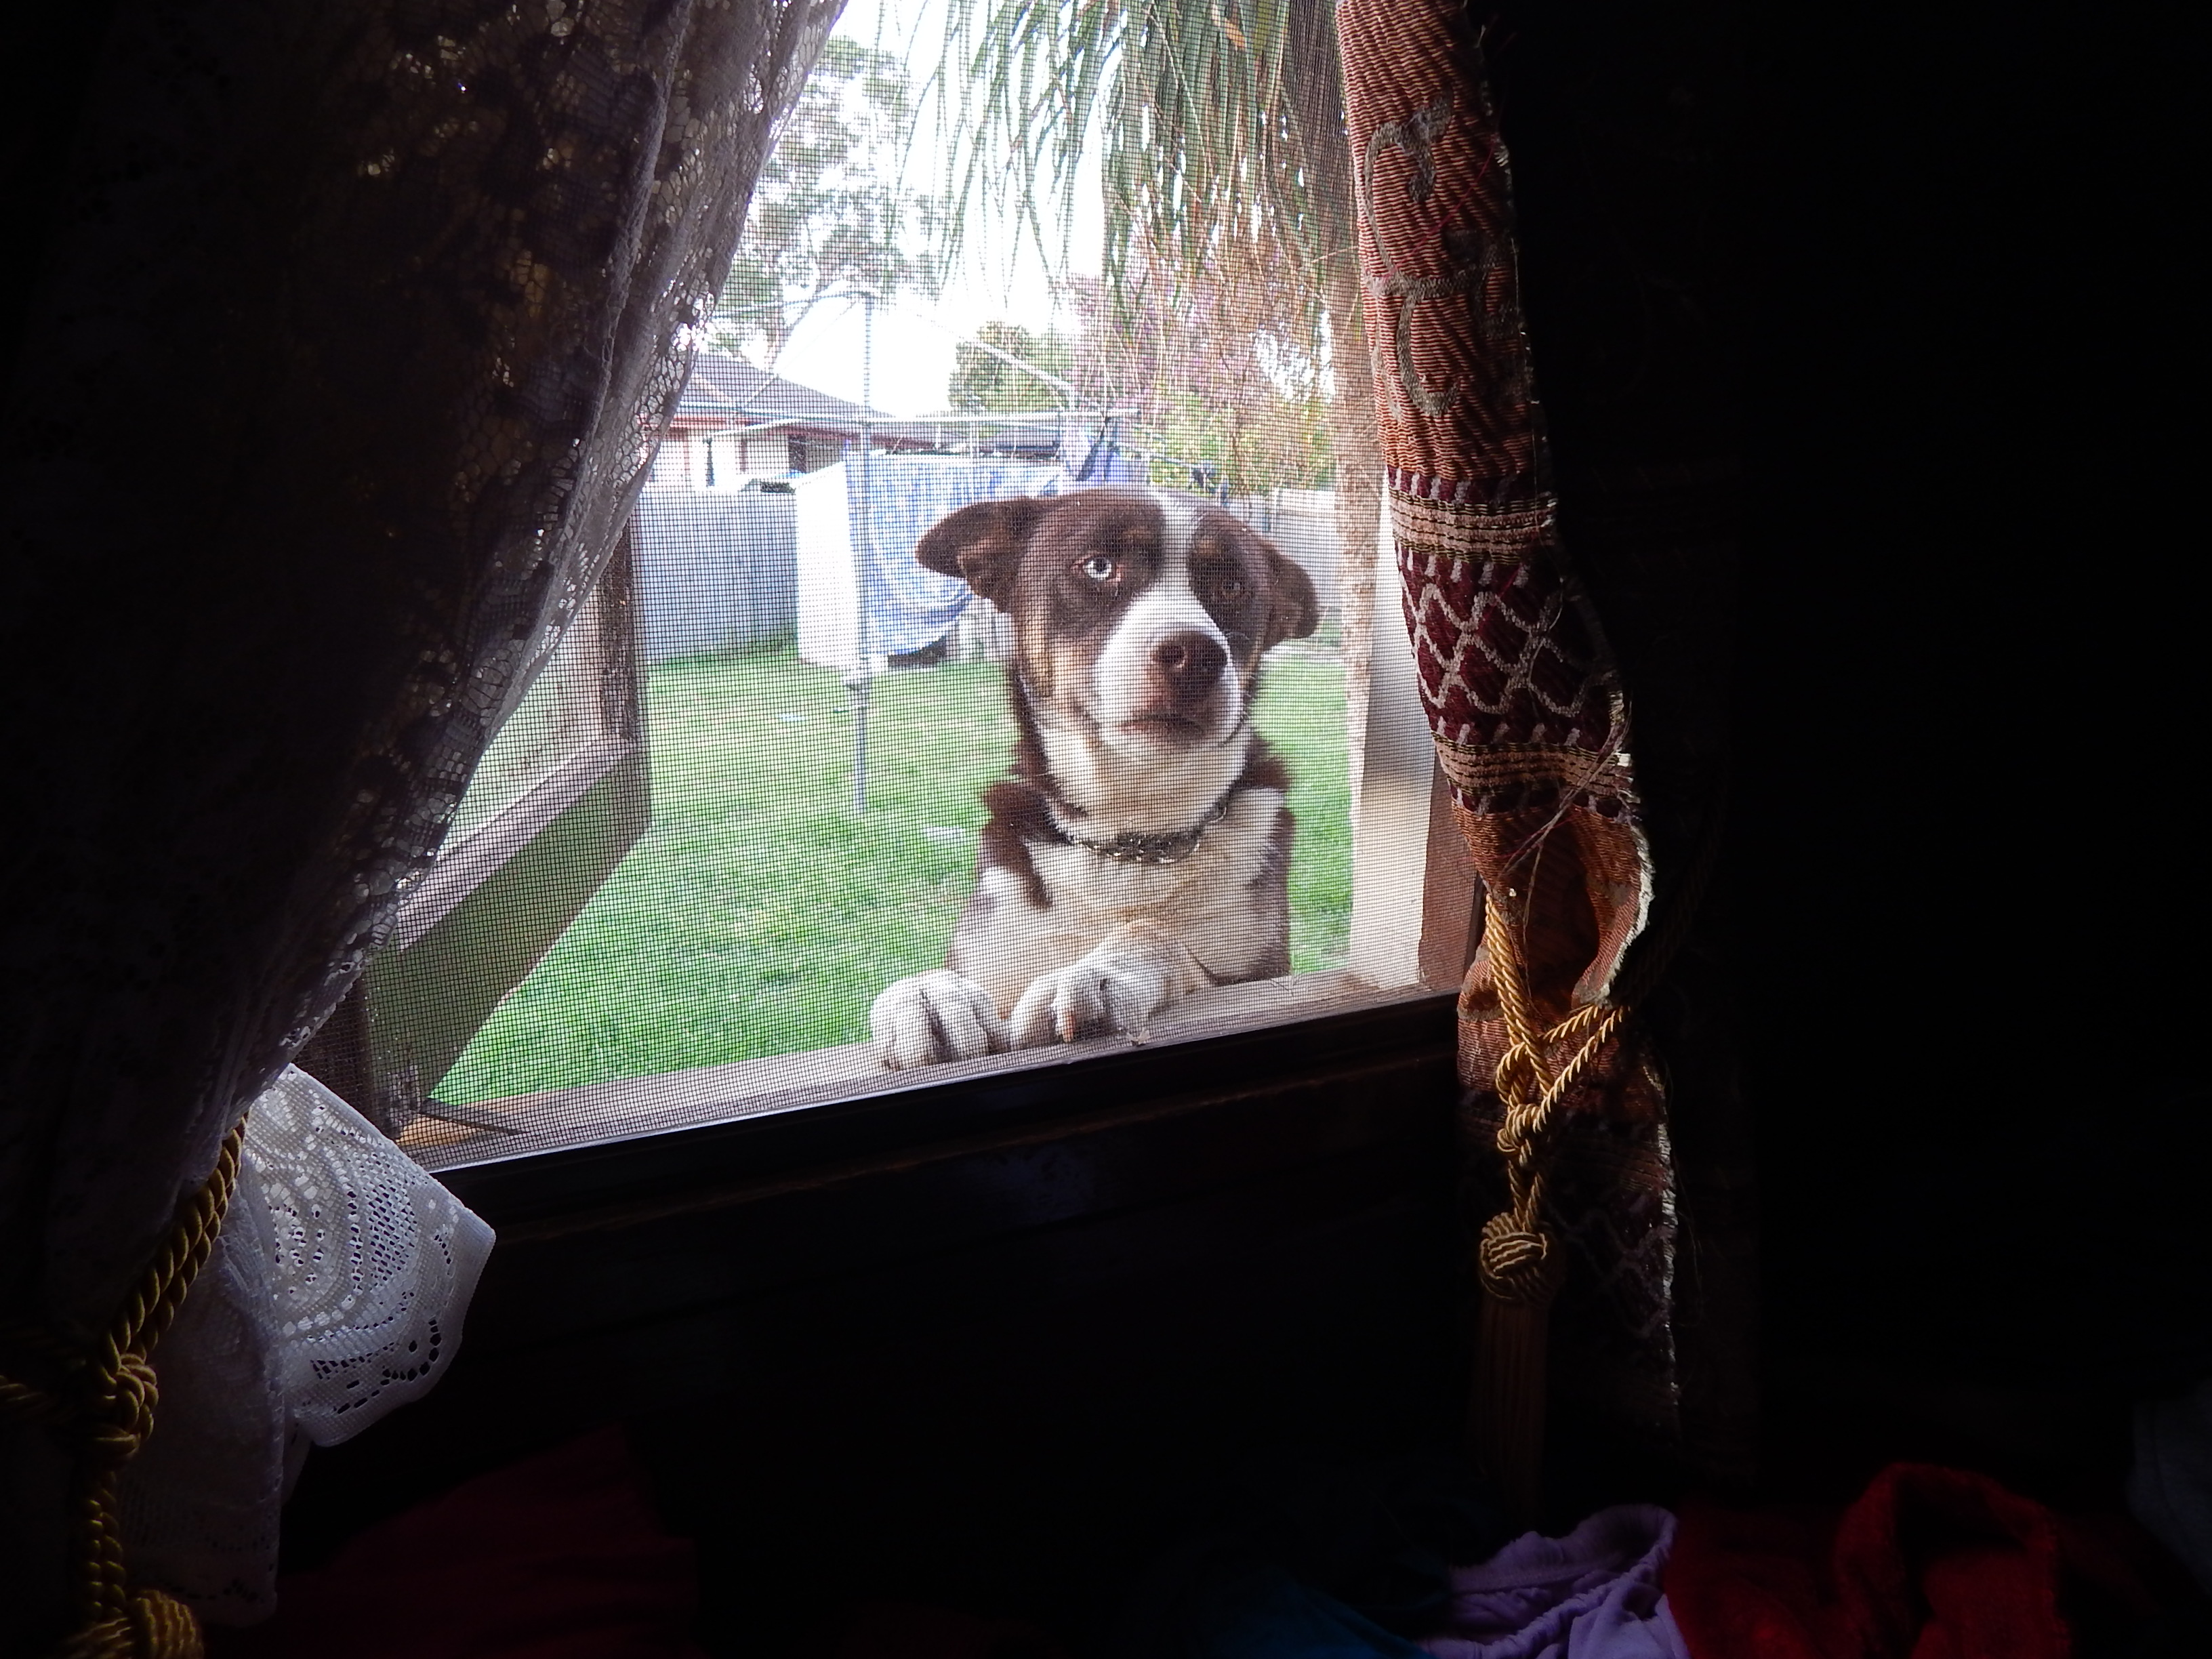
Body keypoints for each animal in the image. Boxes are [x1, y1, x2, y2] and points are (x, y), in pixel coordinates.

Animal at [870, 485, 1321, 1069]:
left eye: (1231, 586)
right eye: (1100, 567)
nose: (1196, 656)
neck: (1129, 835)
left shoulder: (1257, 975)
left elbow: (1152, 932)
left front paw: (1100, 973)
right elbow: (946, 979)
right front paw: (928, 992)